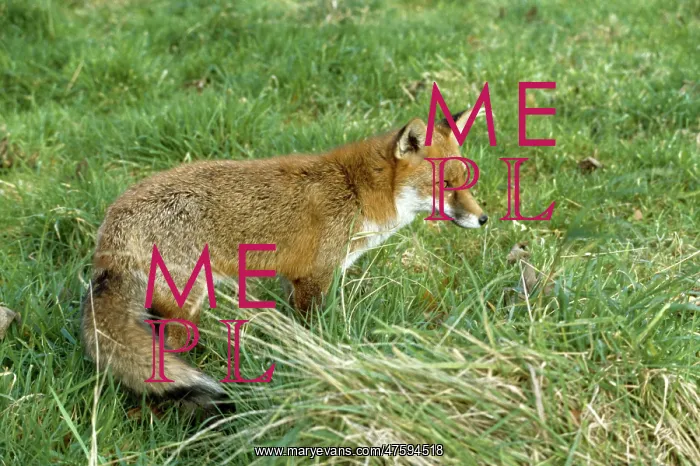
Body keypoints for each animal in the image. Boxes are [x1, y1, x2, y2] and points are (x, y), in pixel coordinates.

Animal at [81, 110, 487, 412]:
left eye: (466, 181)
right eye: (446, 185)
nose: (483, 220)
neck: (356, 191)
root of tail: (111, 227)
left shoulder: (293, 280)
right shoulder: (314, 277)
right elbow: (314, 334)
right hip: (187, 302)